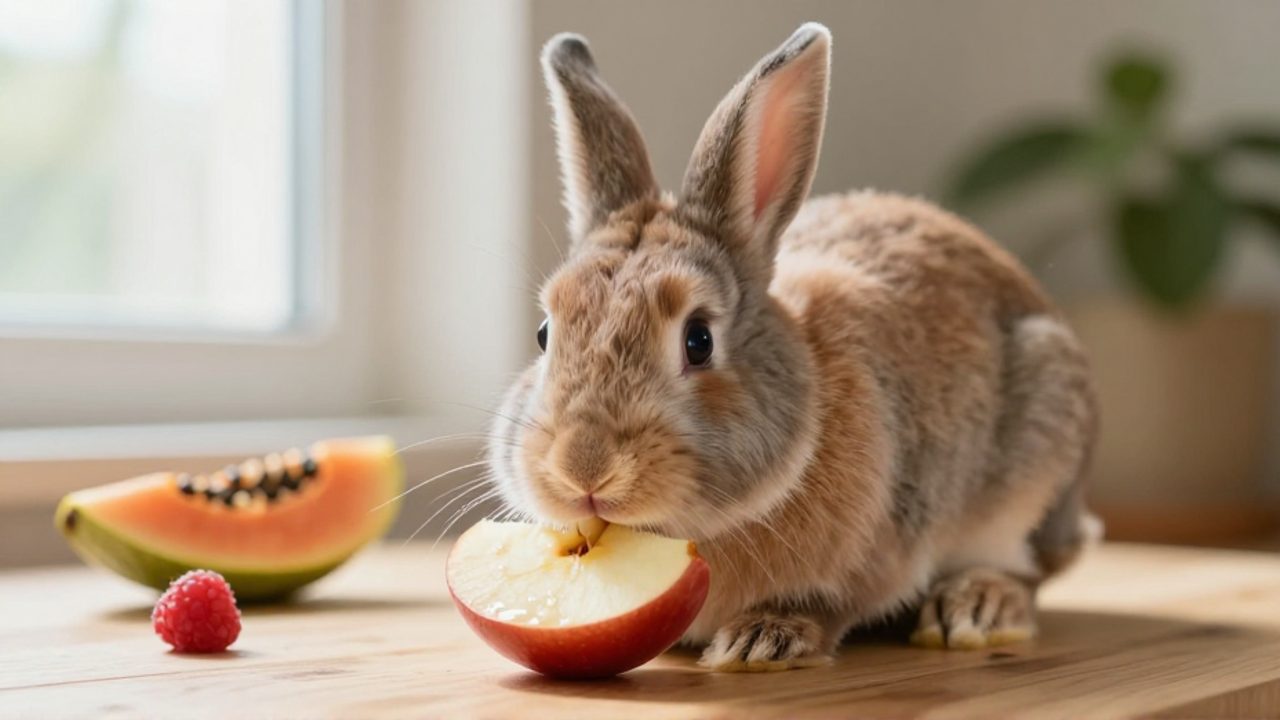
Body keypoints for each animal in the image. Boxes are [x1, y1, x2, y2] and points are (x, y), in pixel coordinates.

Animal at [487, 22, 1099, 672]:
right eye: (544, 333)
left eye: (698, 340)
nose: (584, 469)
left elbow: (831, 605)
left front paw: (761, 640)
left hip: (1037, 465)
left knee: (1029, 572)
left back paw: (977, 607)